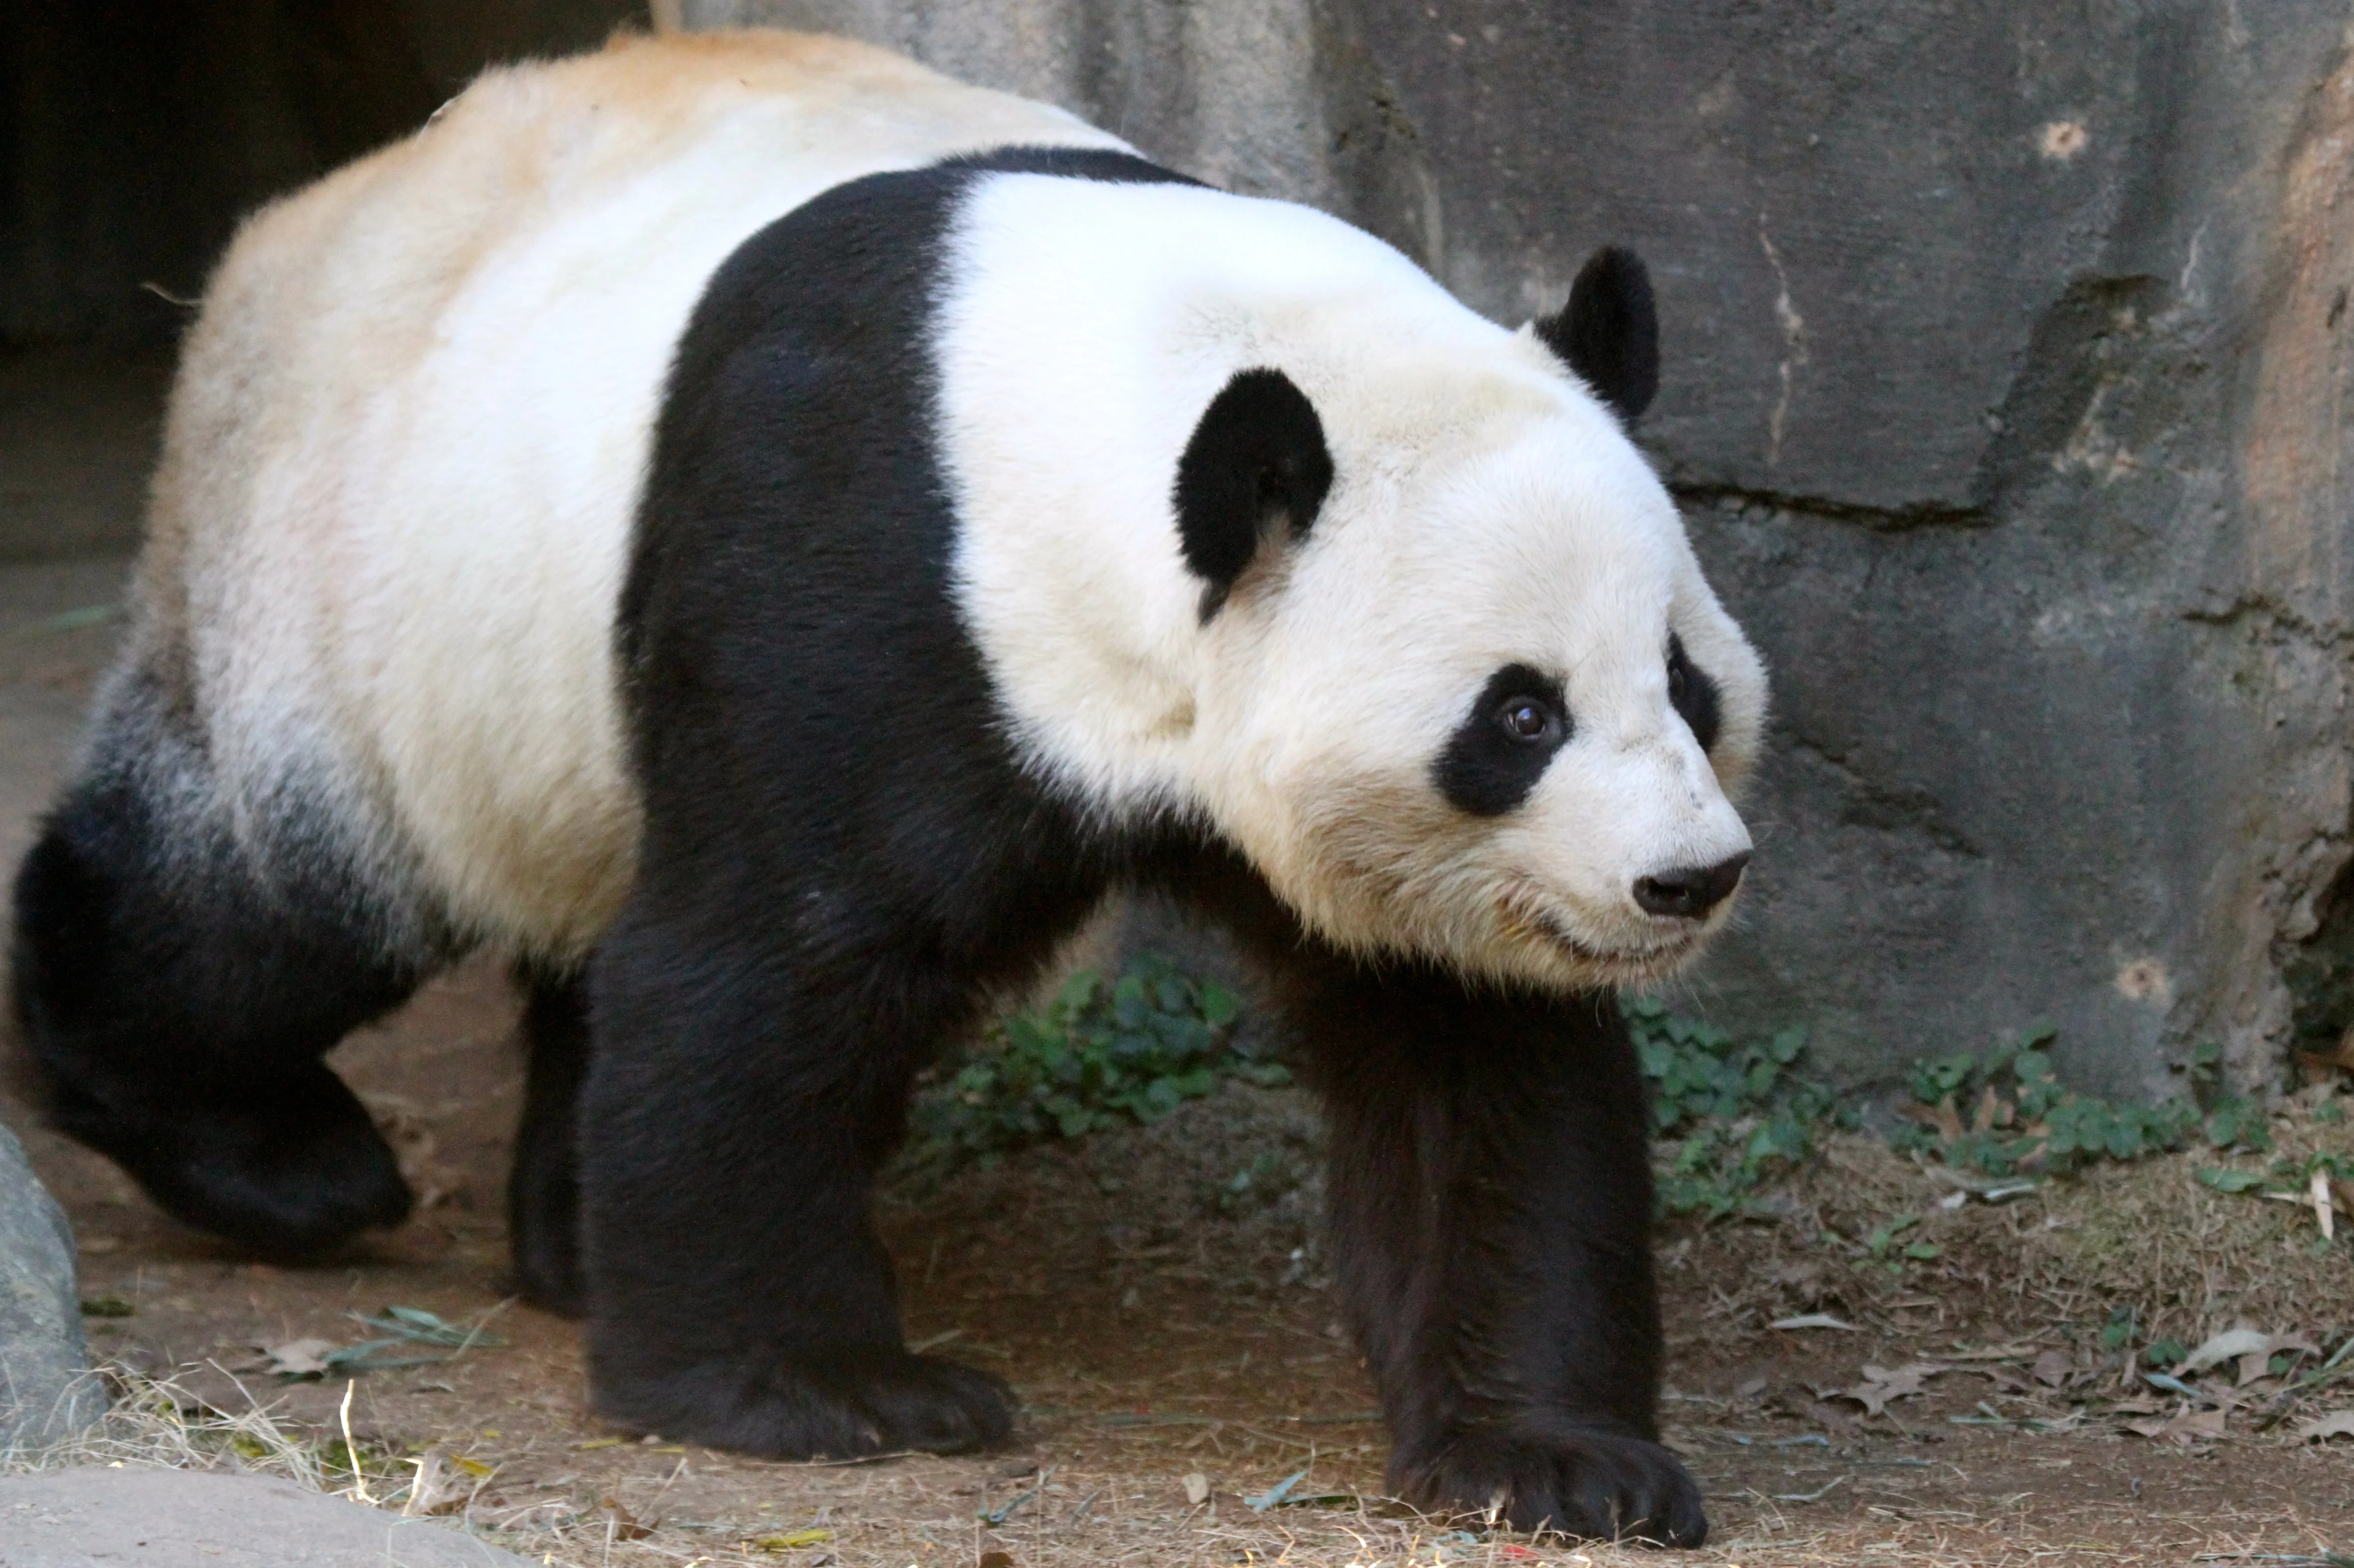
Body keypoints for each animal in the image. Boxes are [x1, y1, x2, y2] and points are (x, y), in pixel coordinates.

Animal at [7, 29, 1763, 1546]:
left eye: (1683, 681)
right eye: (1517, 715)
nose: (1686, 878)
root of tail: (314, 214)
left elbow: (1471, 1064)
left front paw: (1552, 1458)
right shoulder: (873, 574)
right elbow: (766, 966)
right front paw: (819, 1390)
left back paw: (566, 1235)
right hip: (346, 580)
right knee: (258, 896)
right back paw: (276, 1158)